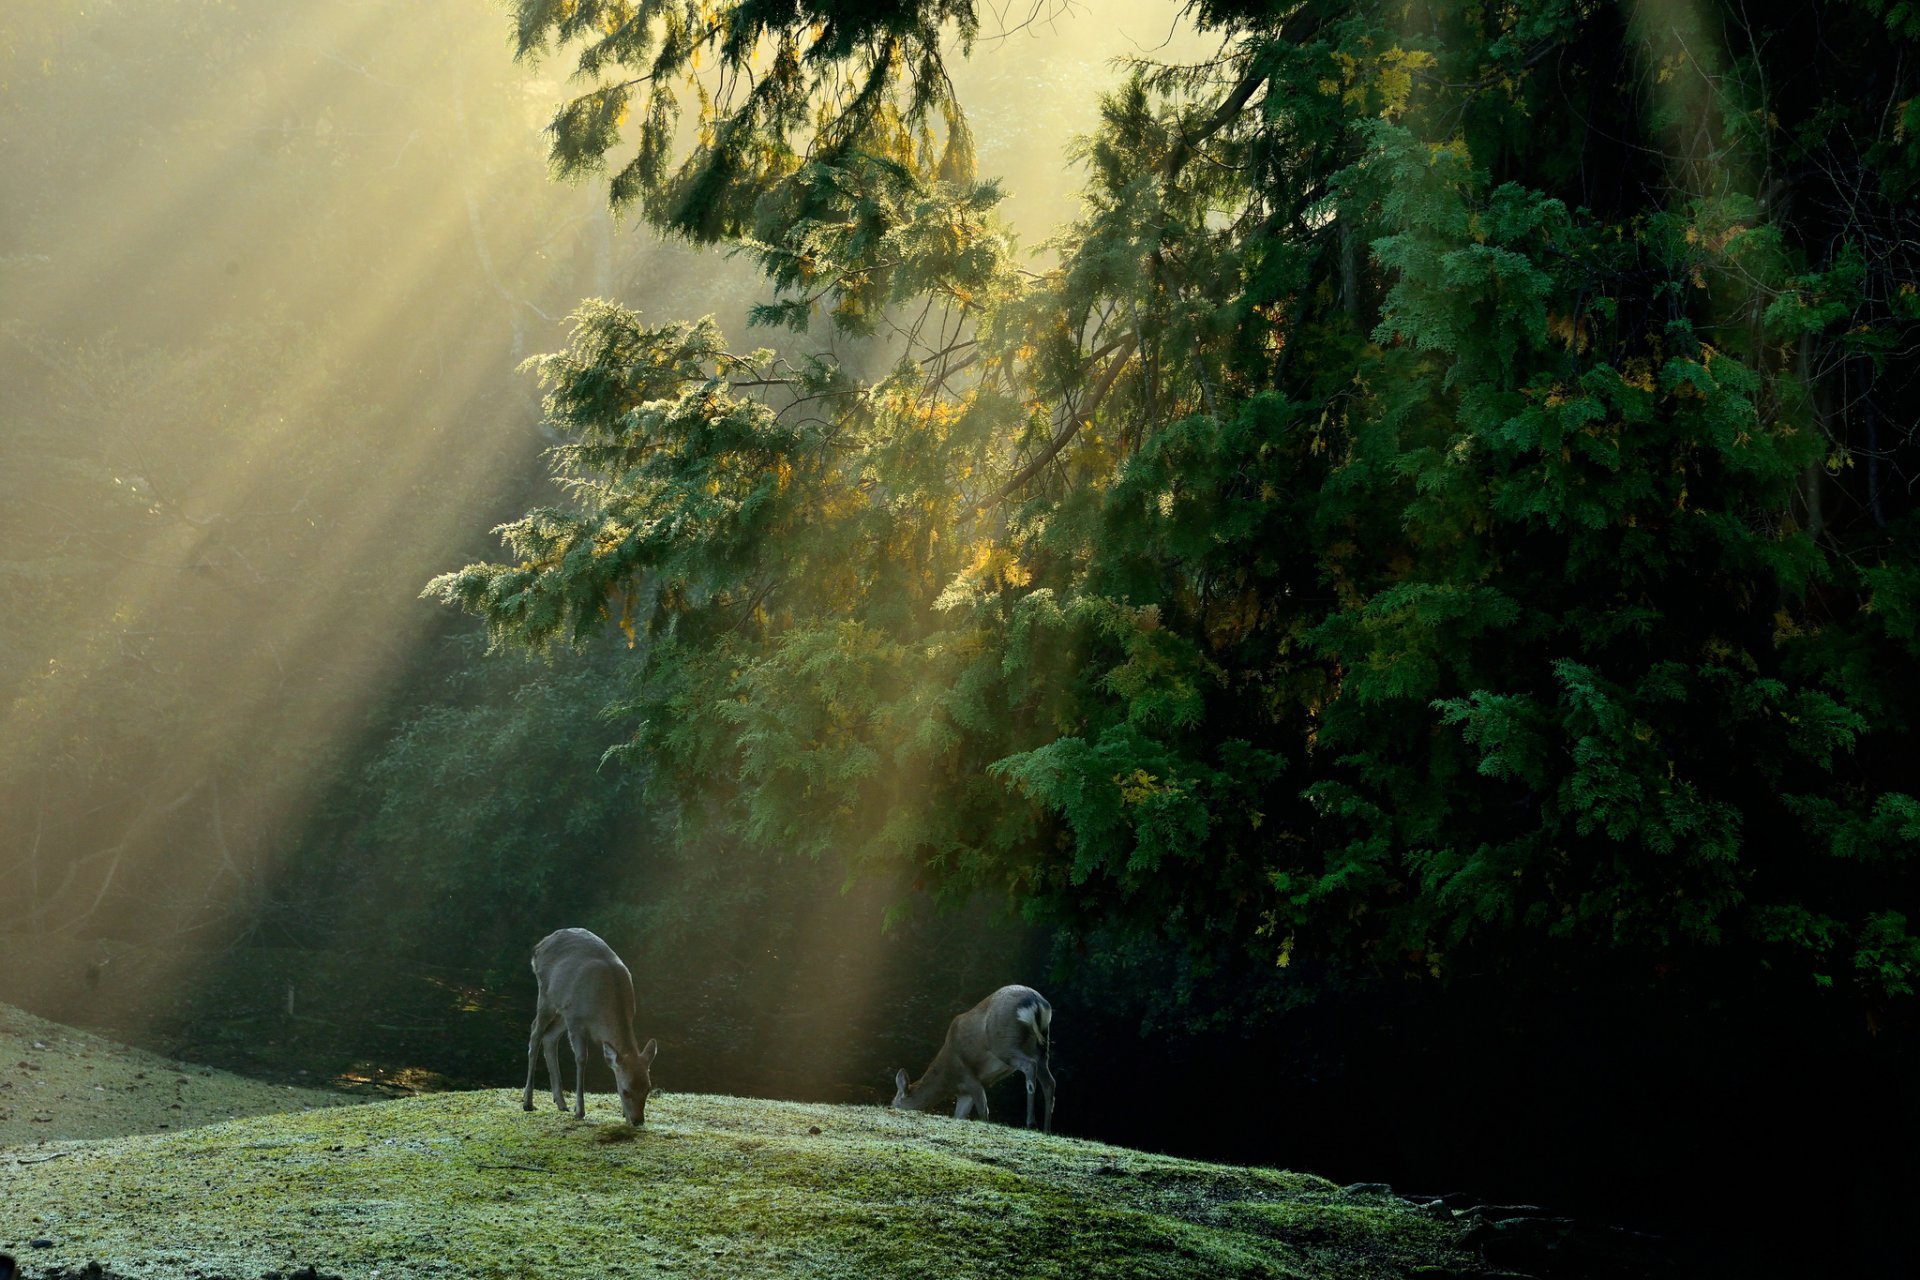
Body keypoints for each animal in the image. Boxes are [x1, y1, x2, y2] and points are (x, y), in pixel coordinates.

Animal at [518, 924, 660, 1128]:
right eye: (625, 1090)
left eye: (648, 1089)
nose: (638, 1120)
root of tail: (539, 946)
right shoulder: (577, 1022)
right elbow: (581, 1059)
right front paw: (580, 1111)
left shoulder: (573, 1016)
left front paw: (623, 1114)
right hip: (547, 995)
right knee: (535, 1031)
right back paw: (528, 1102)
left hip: (563, 1008)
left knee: (549, 1036)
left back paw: (560, 1102)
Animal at [890, 990, 1059, 1128]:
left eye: (895, 1103)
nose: (891, 1109)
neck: (948, 1079)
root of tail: (1036, 1002)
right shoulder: (966, 1092)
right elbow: (959, 1116)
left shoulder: (969, 1076)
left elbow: (984, 1111)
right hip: (1040, 1047)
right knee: (1049, 1082)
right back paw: (1046, 1129)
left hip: (1004, 1044)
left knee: (1030, 1066)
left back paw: (1031, 1123)